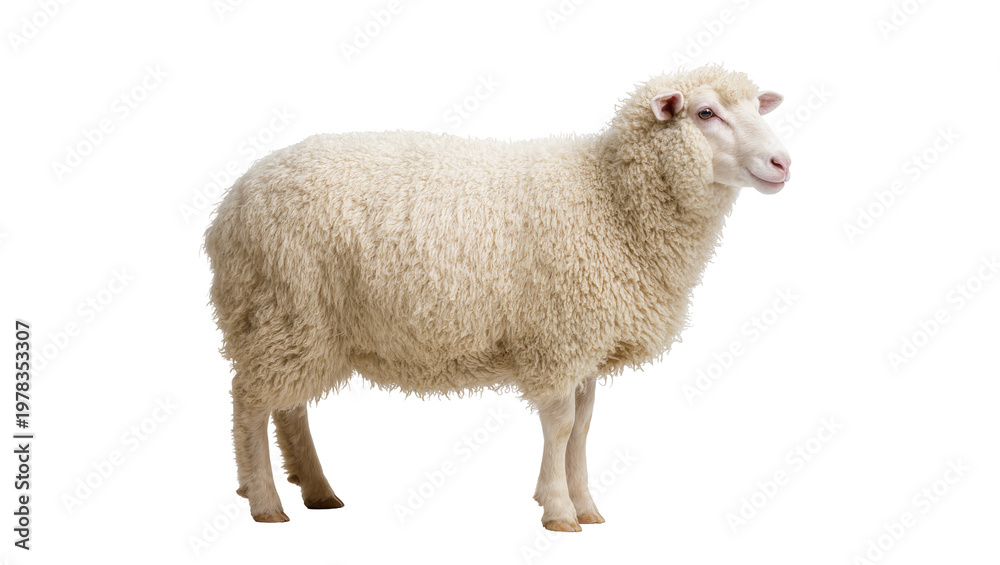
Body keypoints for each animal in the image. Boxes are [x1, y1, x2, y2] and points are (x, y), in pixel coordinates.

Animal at [204, 64, 791, 531]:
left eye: (754, 107)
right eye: (706, 112)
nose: (783, 162)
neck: (610, 198)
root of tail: (232, 201)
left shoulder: (584, 344)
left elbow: (582, 429)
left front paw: (585, 505)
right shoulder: (558, 338)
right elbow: (560, 427)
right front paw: (558, 510)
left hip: (300, 322)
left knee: (288, 406)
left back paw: (316, 490)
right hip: (281, 307)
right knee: (249, 403)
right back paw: (265, 500)